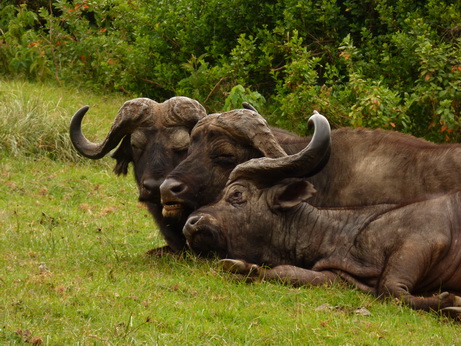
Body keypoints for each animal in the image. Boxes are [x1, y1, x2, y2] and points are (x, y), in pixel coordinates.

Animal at [183, 114, 460, 316]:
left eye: (236, 194)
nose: (190, 223)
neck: (343, 232)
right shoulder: (339, 277)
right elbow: (287, 272)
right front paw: (242, 267)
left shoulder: (422, 238)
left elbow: (391, 289)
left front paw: (451, 301)